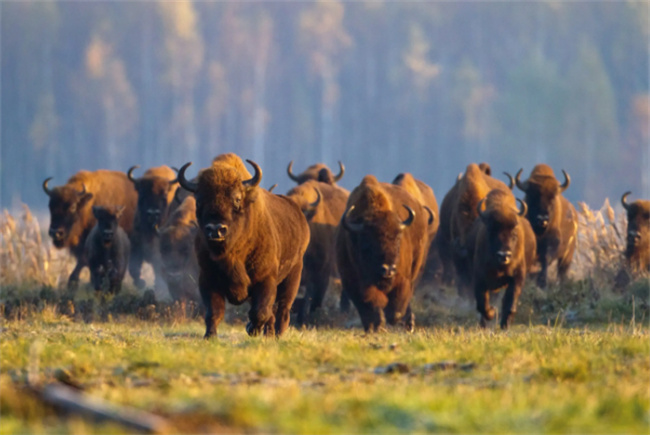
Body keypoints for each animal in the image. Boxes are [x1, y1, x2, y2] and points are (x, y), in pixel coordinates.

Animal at [177, 155, 308, 338]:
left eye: (237, 199)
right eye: (199, 201)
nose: (216, 229)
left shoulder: (265, 279)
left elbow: (260, 311)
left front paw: (252, 329)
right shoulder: (208, 279)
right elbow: (214, 312)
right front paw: (210, 336)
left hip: (293, 276)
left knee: (282, 309)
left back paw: (277, 335)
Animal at [334, 175, 430, 332]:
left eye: (398, 239)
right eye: (366, 242)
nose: (388, 269)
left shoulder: (402, 279)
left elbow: (396, 308)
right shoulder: (354, 282)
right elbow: (369, 305)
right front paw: (376, 326)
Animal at [468, 191, 536, 330]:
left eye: (514, 233)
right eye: (490, 231)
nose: (504, 255)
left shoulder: (517, 278)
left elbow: (510, 302)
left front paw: (504, 325)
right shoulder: (479, 278)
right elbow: (482, 304)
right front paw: (492, 312)